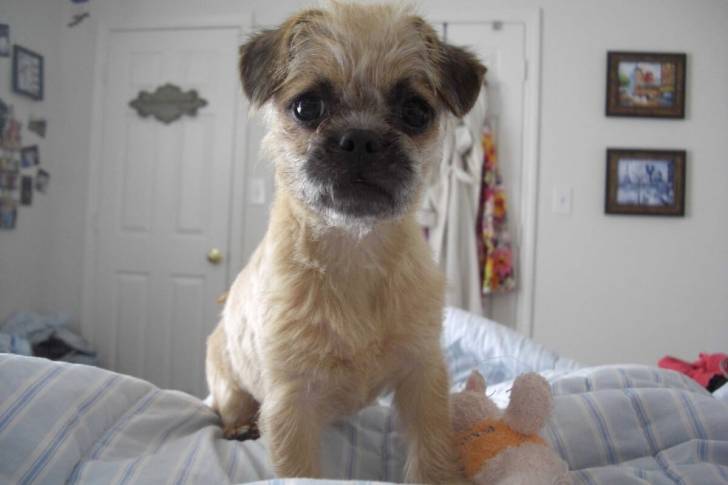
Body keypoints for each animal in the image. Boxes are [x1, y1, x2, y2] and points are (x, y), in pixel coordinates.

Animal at [205, 2, 486, 480]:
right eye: (307, 107)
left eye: (415, 112)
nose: (361, 138)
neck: (356, 251)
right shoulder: (292, 404)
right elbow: (299, 471)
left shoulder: (422, 377)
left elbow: (431, 453)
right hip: (224, 369)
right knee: (228, 400)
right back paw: (239, 424)